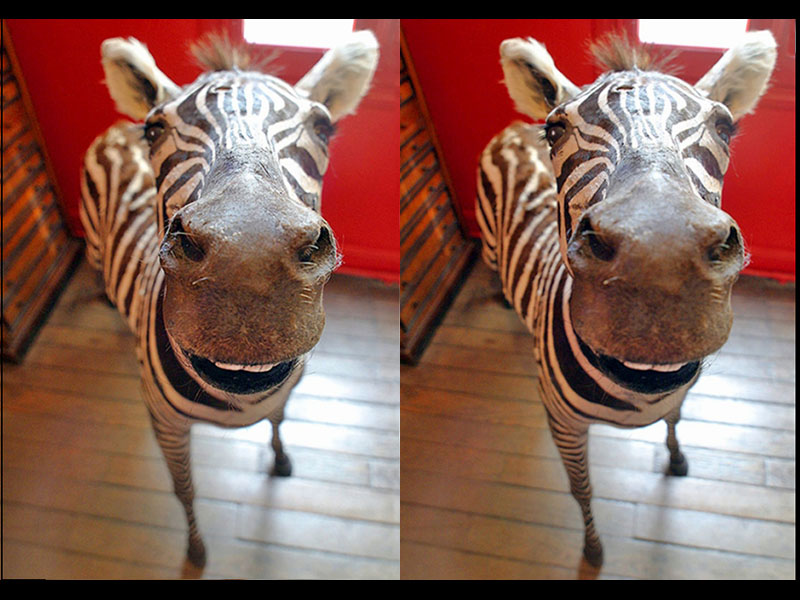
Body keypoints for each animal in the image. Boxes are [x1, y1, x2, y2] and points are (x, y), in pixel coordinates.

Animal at [80, 31, 378, 567]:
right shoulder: (165, 424)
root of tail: (116, 128)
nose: (248, 267)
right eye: (155, 130)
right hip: (93, 241)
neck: (238, 397)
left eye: (324, 127)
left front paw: (280, 459)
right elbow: (185, 490)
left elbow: (279, 421)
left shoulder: (282, 393)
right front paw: (196, 552)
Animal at [476, 31, 776, 567]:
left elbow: (675, 422)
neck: (641, 387)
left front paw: (676, 458)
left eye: (725, 126)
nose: (659, 268)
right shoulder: (564, 424)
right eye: (556, 130)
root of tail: (515, 127)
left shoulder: (677, 395)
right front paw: (593, 551)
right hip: (489, 243)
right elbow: (582, 490)